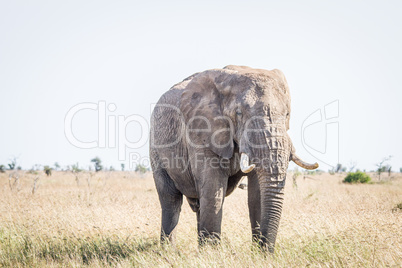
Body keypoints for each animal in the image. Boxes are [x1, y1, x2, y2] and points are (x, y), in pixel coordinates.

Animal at [149, 65, 318, 253]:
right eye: (239, 113)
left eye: (287, 114)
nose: (267, 252)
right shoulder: (201, 131)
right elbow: (213, 190)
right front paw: (212, 254)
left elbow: (256, 195)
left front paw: (256, 253)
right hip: (156, 148)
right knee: (170, 199)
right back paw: (168, 251)